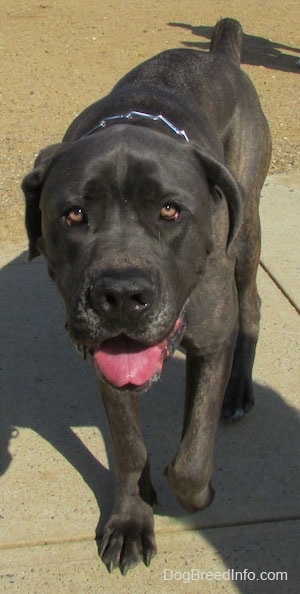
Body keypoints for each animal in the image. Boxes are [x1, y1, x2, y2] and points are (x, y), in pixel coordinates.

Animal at [21, 18, 272, 572]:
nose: (120, 294)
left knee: (252, 303)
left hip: (246, 232)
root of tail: (220, 54)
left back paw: (239, 392)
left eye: (170, 211)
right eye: (73, 215)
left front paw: (197, 495)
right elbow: (129, 445)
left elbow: (191, 461)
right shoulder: (109, 358)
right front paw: (133, 519)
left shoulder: (211, 339)